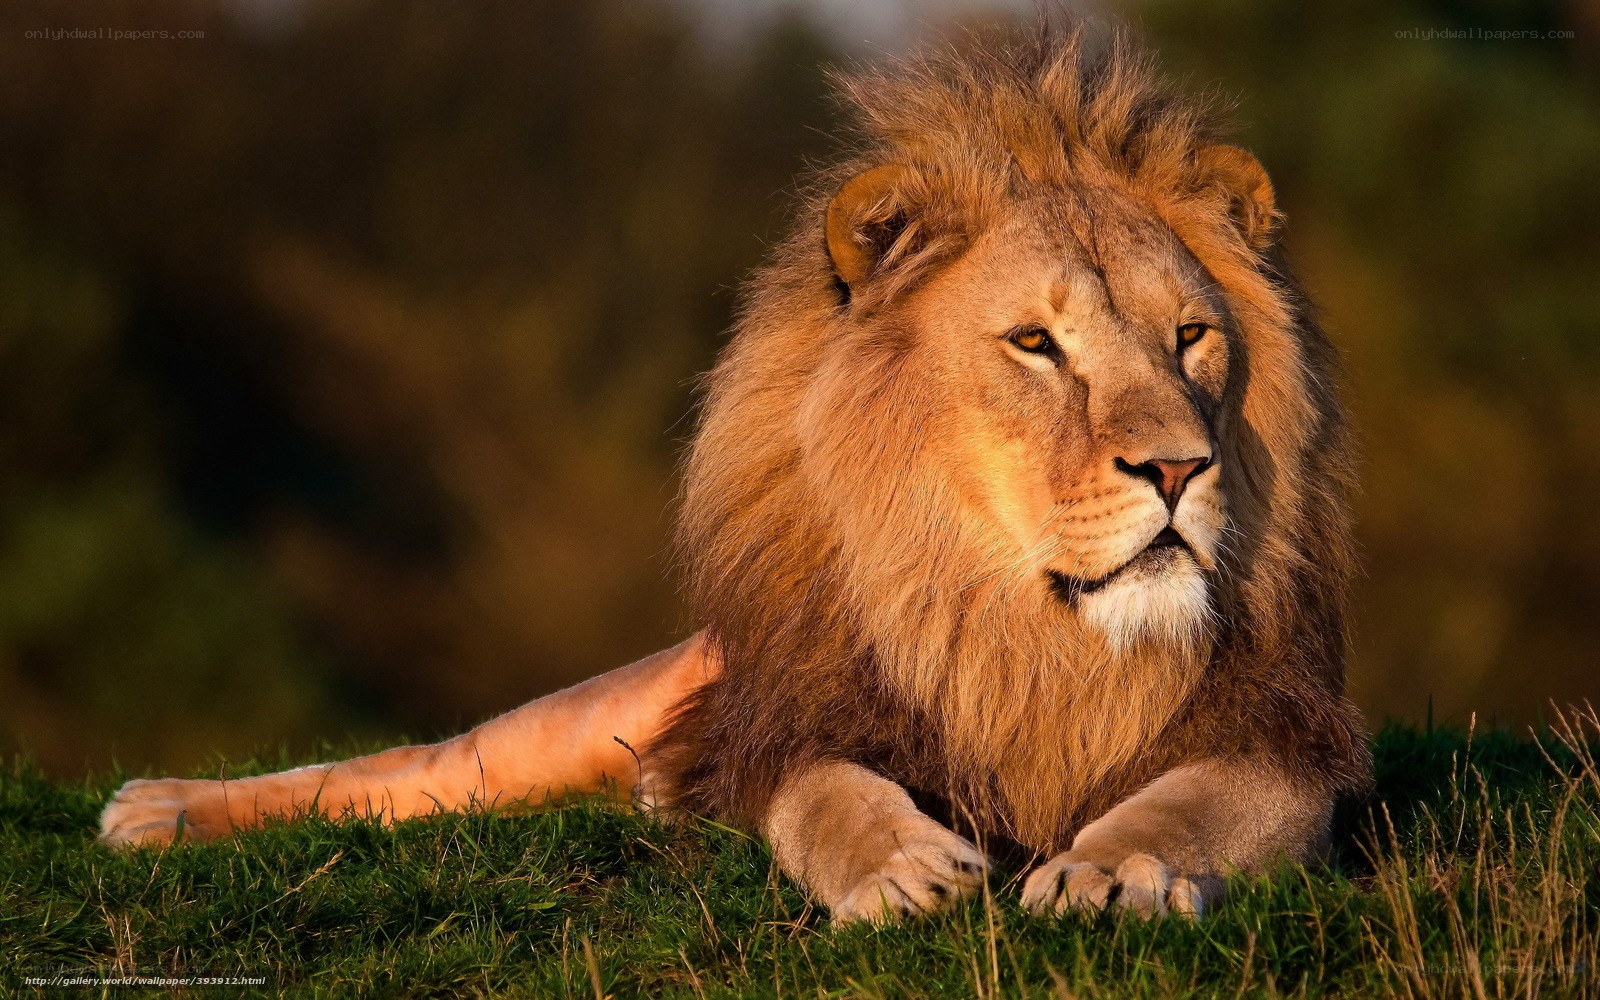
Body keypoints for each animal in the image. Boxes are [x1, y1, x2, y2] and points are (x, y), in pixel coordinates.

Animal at [99, 24, 1370, 924]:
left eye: (1189, 337)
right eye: (1034, 344)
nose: (1179, 467)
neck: (1025, 632)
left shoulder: (1284, 742)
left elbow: (1195, 801)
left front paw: (1109, 869)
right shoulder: (785, 726)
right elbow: (826, 797)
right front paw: (902, 868)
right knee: (411, 769)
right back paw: (153, 808)